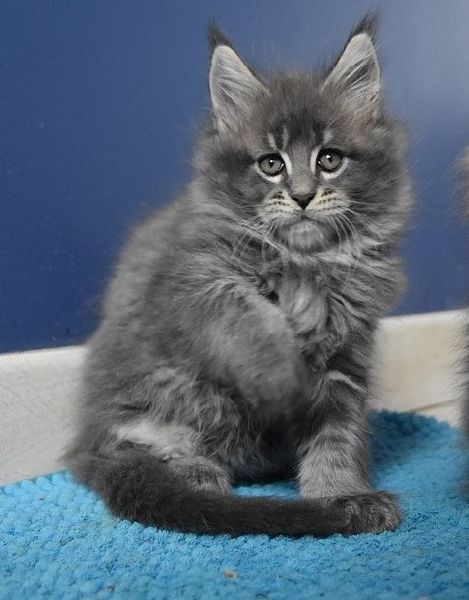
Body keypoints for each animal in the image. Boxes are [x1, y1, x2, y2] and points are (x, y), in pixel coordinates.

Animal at [66, 16, 414, 536]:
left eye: (329, 159)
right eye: (271, 164)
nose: (303, 196)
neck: (306, 266)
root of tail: (85, 437)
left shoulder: (348, 353)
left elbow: (337, 436)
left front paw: (341, 496)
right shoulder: (194, 284)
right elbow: (249, 323)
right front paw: (283, 376)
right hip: (161, 388)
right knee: (134, 442)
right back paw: (194, 472)